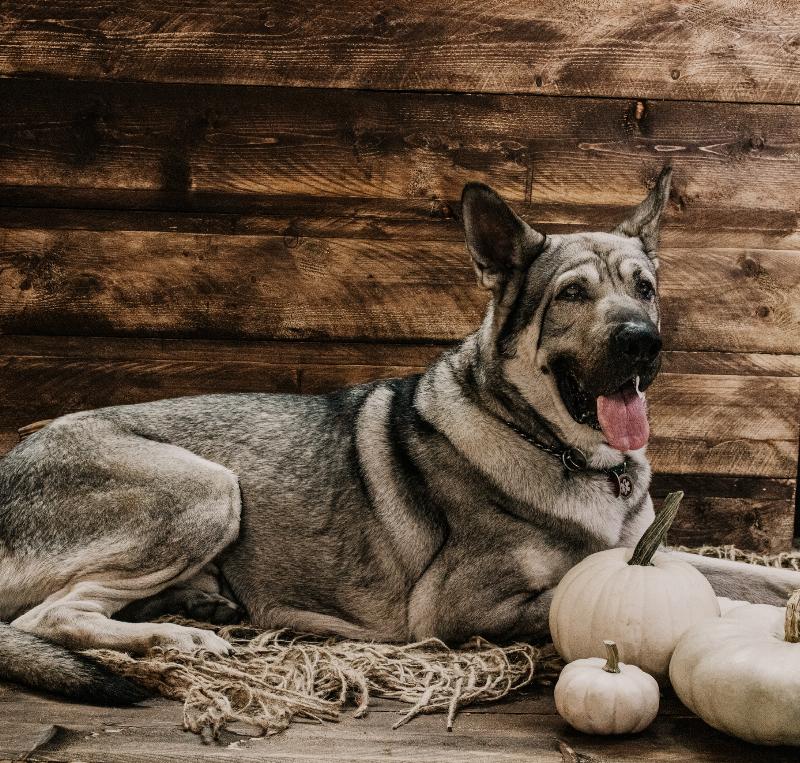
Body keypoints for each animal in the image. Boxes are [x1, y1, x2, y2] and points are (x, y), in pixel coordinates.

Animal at [2, 166, 799, 704]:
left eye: (645, 288)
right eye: (573, 295)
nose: (642, 343)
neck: (564, 449)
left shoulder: (643, 549)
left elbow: (752, 577)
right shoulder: (463, 609)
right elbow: (702, 600)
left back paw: (201, 607)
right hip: (206, 485)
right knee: (54, 614)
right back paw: (180, 637)